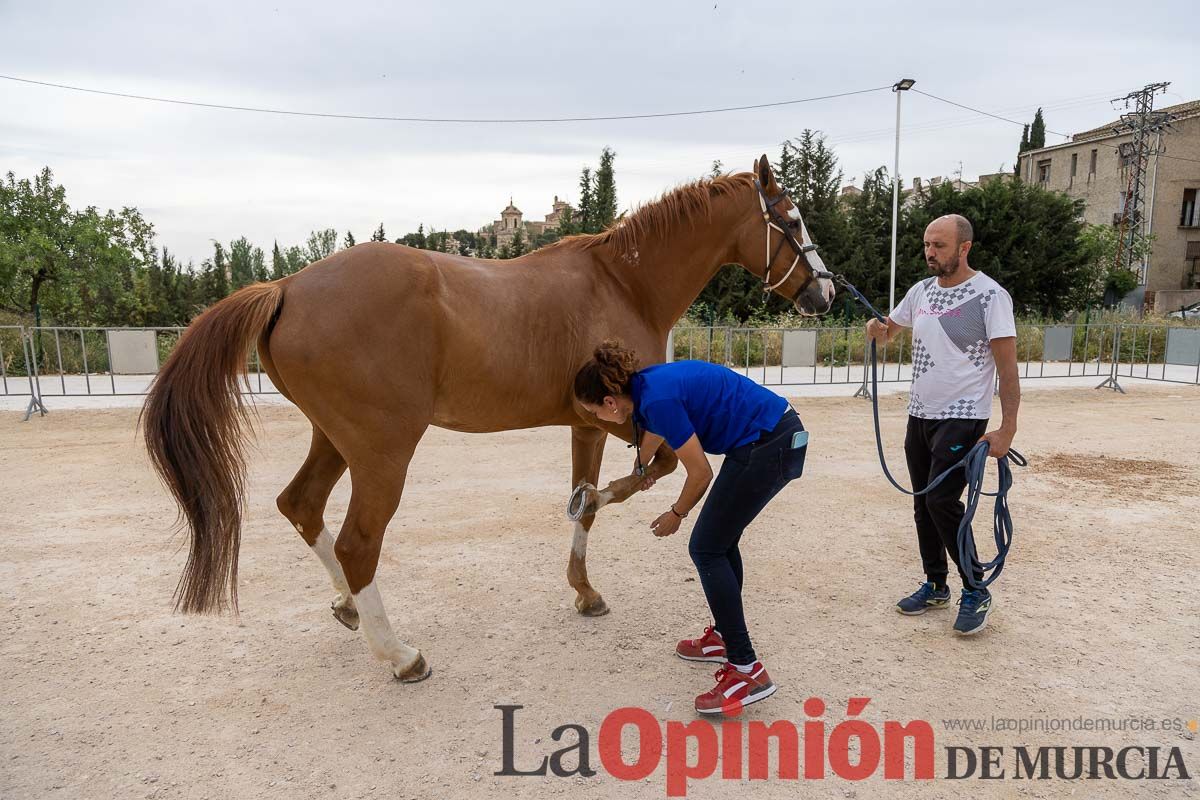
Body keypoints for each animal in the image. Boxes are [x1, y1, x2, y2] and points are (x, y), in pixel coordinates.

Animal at [140, 154, 835, 681]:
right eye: (791, 218)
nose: (825, 292)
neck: (621, 282)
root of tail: (286, 287)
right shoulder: (626, 417)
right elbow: (651, 471)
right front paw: (617, 504)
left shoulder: (586, 423)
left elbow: (583, 503)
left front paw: (584, 589)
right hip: (382, 451)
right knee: (357, 542)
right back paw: (400, 654)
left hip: (333, 439)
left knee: (301, 506)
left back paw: (347, 608)